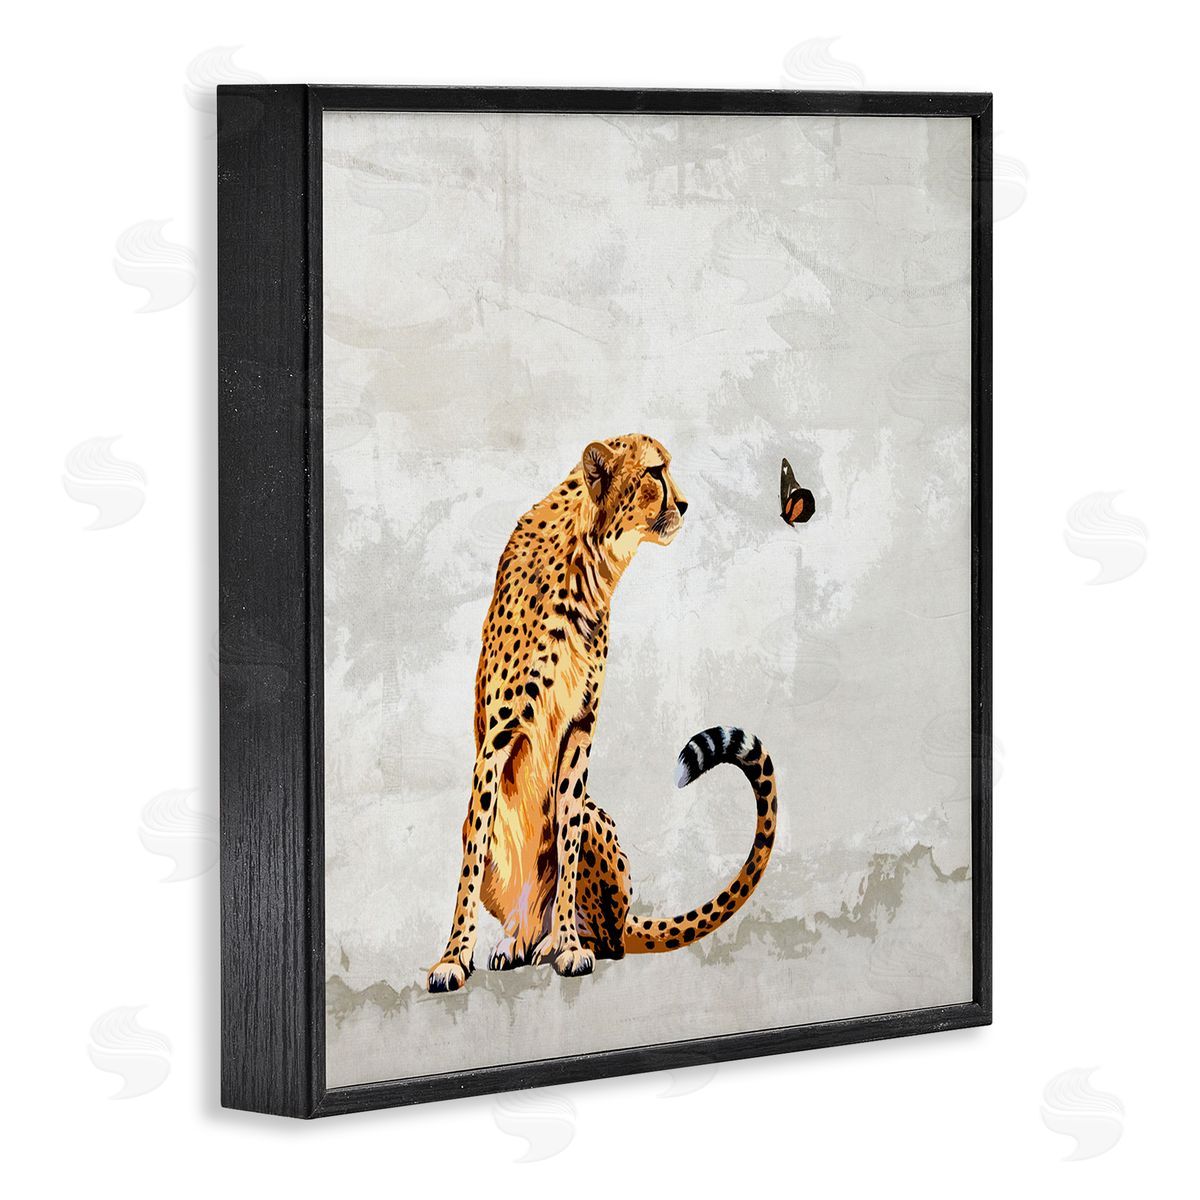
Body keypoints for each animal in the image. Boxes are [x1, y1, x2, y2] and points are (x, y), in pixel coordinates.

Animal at [426, 434, 778, 992]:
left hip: (601, 833)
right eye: (656, 472)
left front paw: (568, 945)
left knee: (608, 935)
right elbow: (473, 853)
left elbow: (566, 839)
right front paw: (454, 957)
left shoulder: (580, 727)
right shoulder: (498, 739)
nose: (685, 505)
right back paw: (515, 941)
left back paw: (553, 940)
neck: (589, 562)